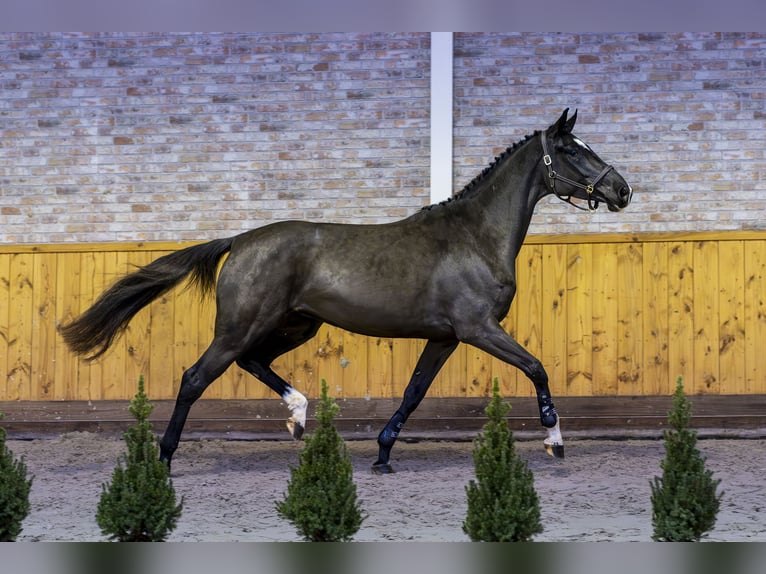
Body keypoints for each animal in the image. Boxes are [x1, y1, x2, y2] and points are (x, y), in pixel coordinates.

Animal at [61, 110, 636, 474]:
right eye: (570, 150)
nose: (622, 190)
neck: (475, 236)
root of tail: (240, 241)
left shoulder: (446, 337)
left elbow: (414, 391)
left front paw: (382, 455)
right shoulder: (479, 328)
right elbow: (537, 367)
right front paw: (554, 443)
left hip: (295, 324)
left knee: (253, 361)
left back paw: (298, 417)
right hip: (242, 325)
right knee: (195, 377)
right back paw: (165, 458)